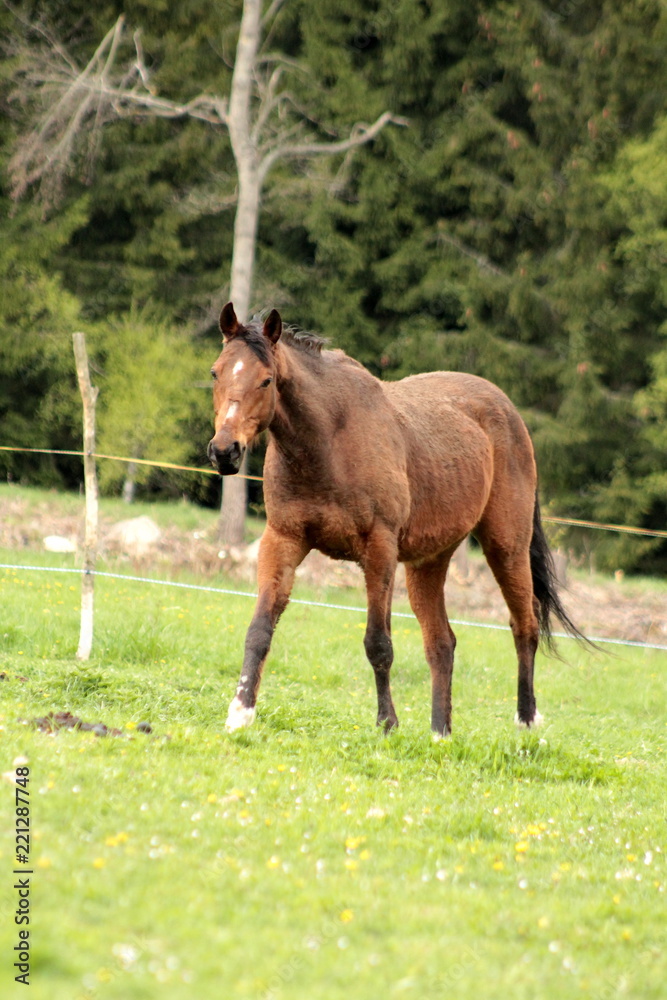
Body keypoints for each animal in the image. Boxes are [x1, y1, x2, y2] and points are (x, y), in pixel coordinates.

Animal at [207, 302, 586, 738]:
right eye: (216, 372)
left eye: (266, 380)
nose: (224, 451)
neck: (329, 441)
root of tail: (508, 411)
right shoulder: (282, 540)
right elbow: (259, 628)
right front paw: (240, 712)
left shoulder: (379, 549)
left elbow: (378, 643)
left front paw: (387, 723)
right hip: (428, 563)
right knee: (442, 643)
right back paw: (441, 733)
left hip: (506, 546)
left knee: (524, 626)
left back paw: (526, 721)